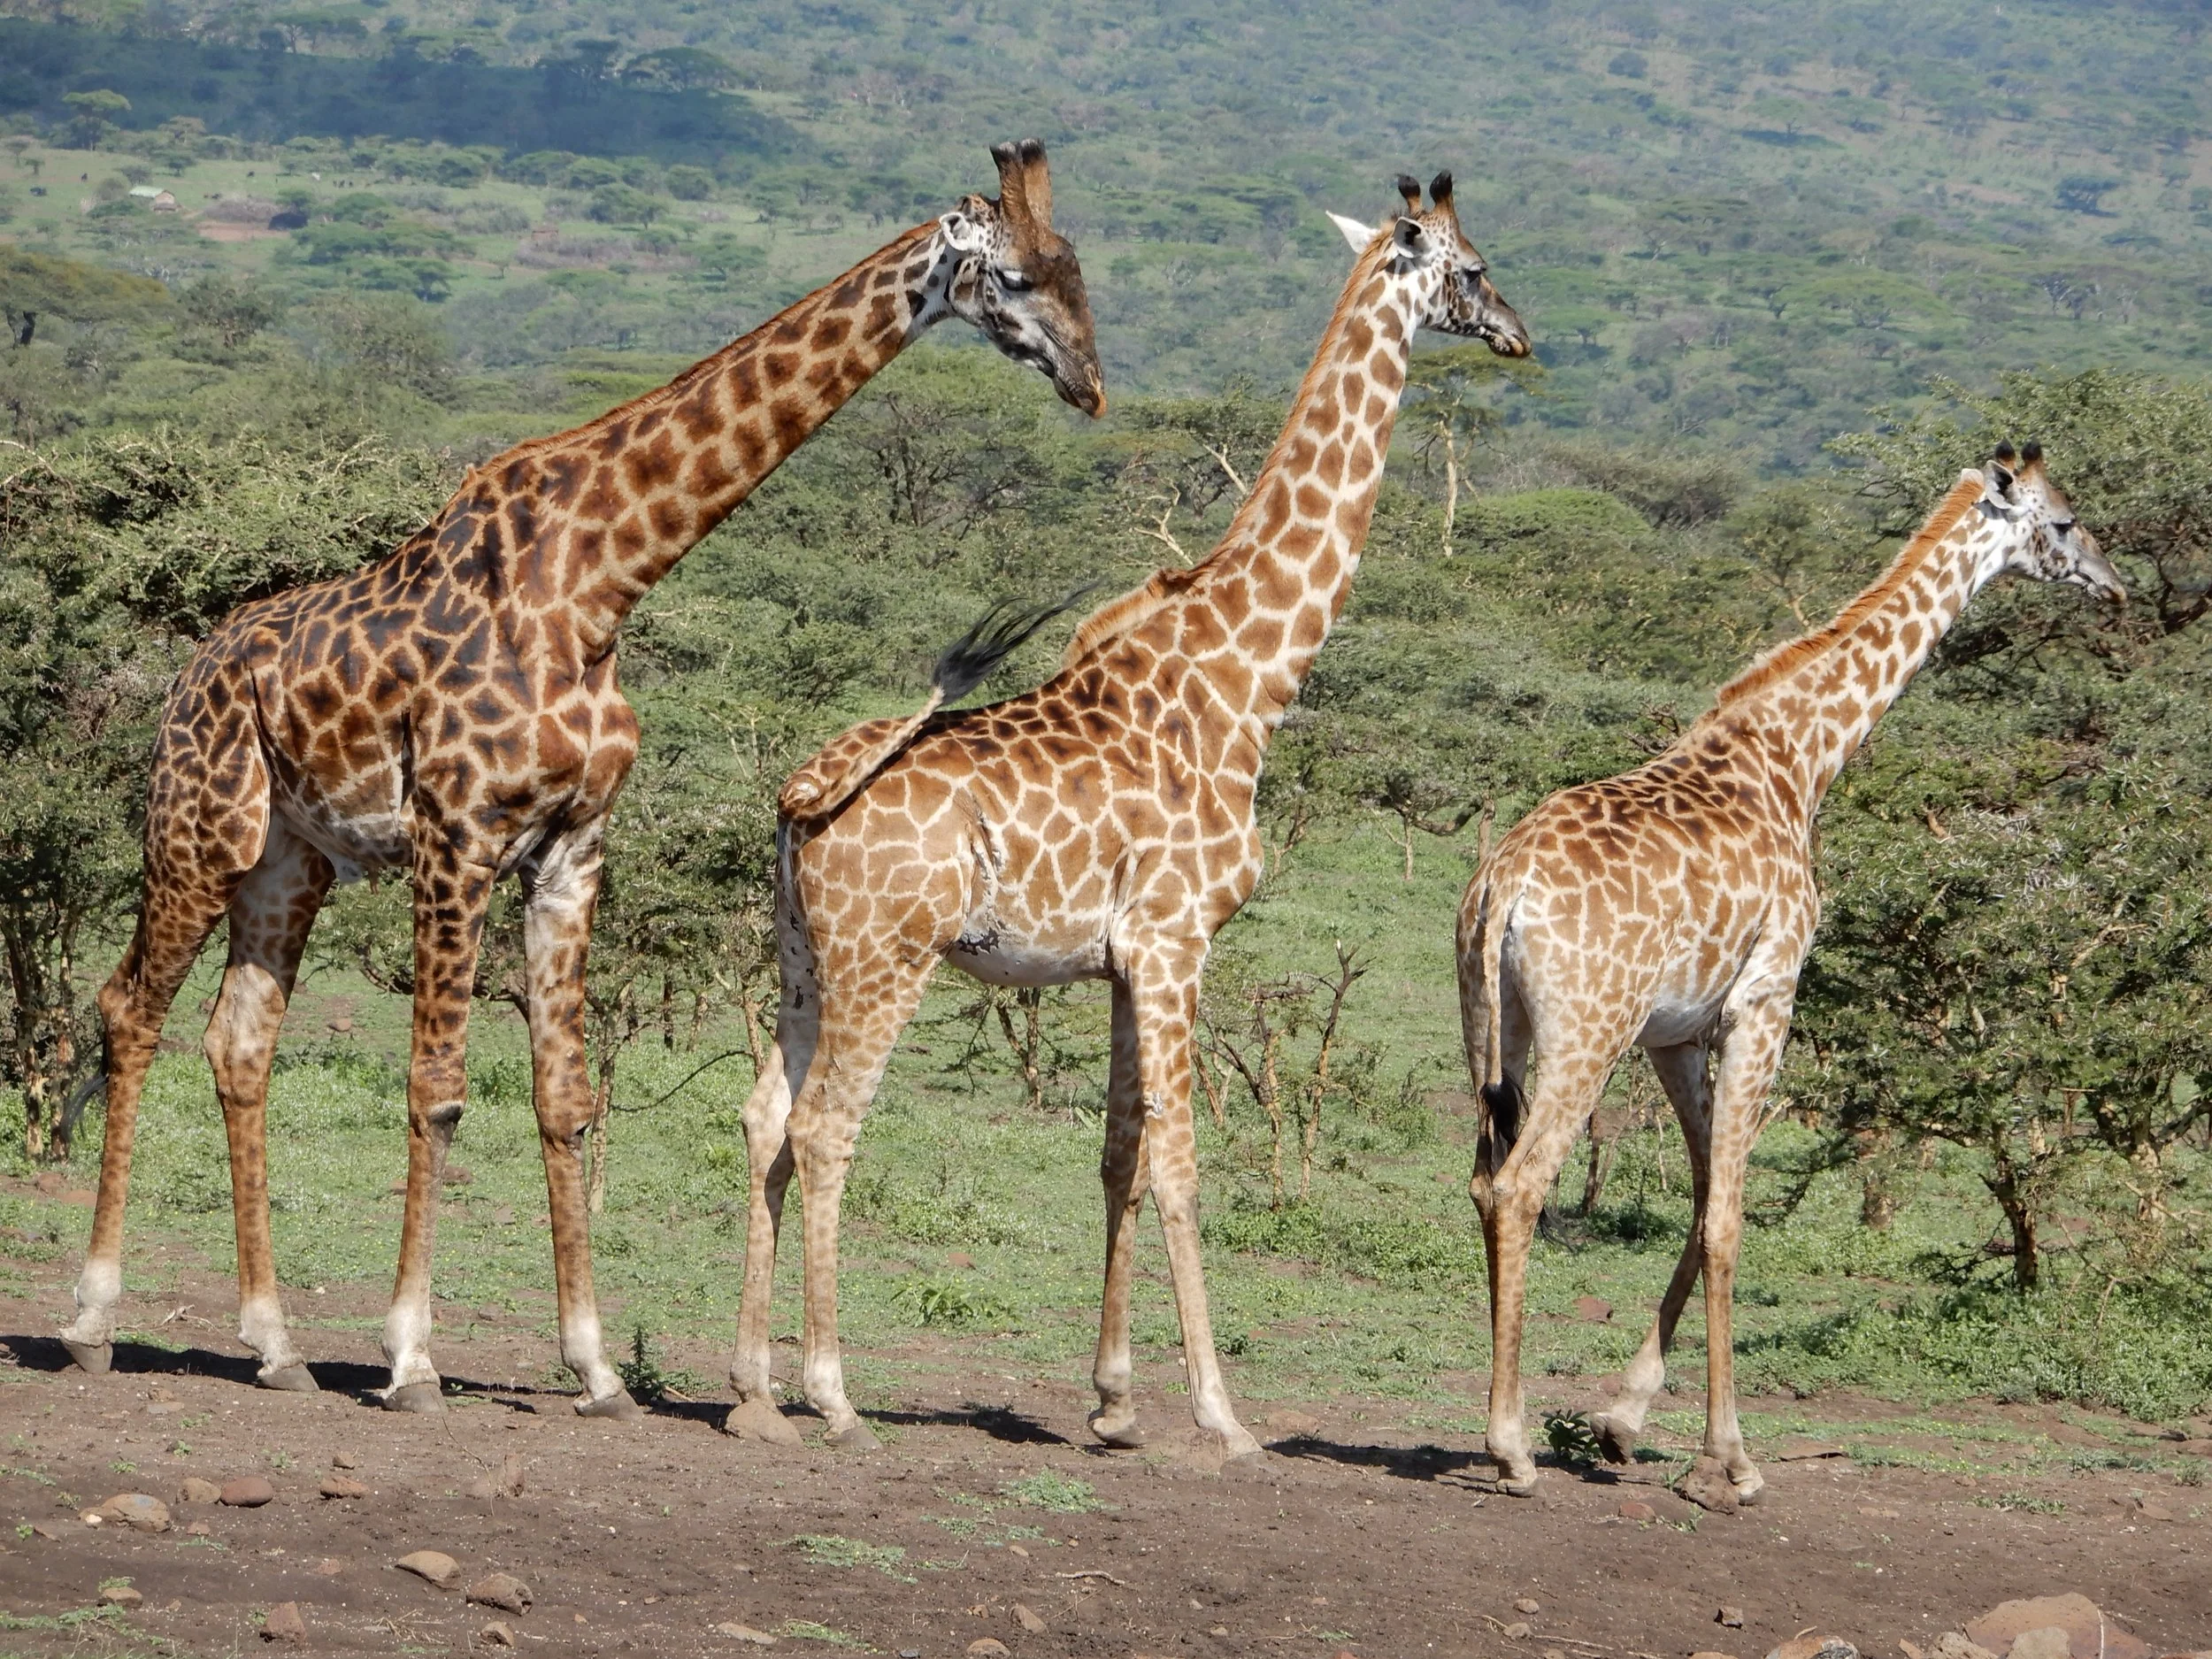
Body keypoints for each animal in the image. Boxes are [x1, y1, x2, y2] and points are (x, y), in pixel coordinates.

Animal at [58, 140, 1104, 1415]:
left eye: (1077, 268)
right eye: (1012, 275)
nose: (1091, 384)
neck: (600, 584)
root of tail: (193, 668)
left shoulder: (572, 844)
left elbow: (566, 1096)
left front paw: (596, 1364)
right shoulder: (456, 833)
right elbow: (438, 1083)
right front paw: (411, 1355)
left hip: (289, 859)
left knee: (239, 1040)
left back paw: (274, 1343)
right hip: (199, 822)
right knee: (129, 1009)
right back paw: (94, 1318)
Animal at [729, 174, 1529, 1453]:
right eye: (1471, 267)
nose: (1517, 332)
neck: (1243, 677)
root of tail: (801, 797)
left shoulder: (1118, 958)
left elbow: (1116, 1154)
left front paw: (1110, 1402)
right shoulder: (1175, 940)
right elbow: (1183, 1166)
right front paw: (1221, 1413)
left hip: (804, 952)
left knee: (765, 1119)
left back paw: (753, 1391)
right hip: (885, 955)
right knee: (825, 1129)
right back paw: (831, 1389)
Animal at [1456, 443, 2123, 1497]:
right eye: (2062, 521)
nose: (2112, 580)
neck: (1797, 760)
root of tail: (1505, 887)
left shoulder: (1679, 1031)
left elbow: (1701, 1202)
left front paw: (1622, 1418)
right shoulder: (1766, 999)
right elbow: (1729, 1218)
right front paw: (1727, 1462)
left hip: (1491, 1026)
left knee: (1485, 1184)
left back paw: (1514, 1431)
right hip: (1588, 1030)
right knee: (1522, 1188)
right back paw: (1511, 1447)